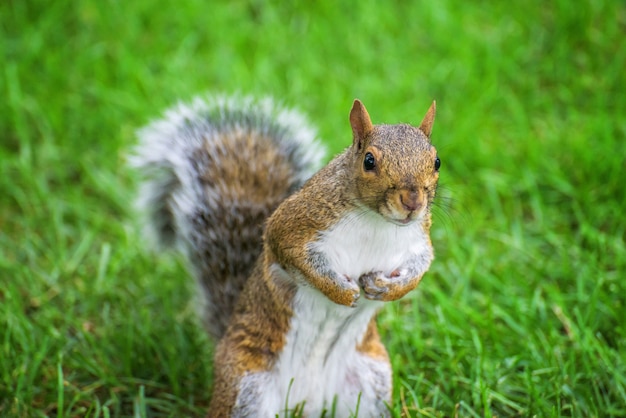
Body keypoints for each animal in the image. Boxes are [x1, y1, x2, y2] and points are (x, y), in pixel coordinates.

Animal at [131, 95, 436, 418]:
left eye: (436, 161)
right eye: (369, 161)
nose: (412, 202)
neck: (378, 222)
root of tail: (307, 402)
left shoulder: (419, 242)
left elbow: (420, 268)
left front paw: (390, 289)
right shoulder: (293, 225)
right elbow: (296, 257)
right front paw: (340, 292)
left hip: (369, 381)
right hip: (247, 386)